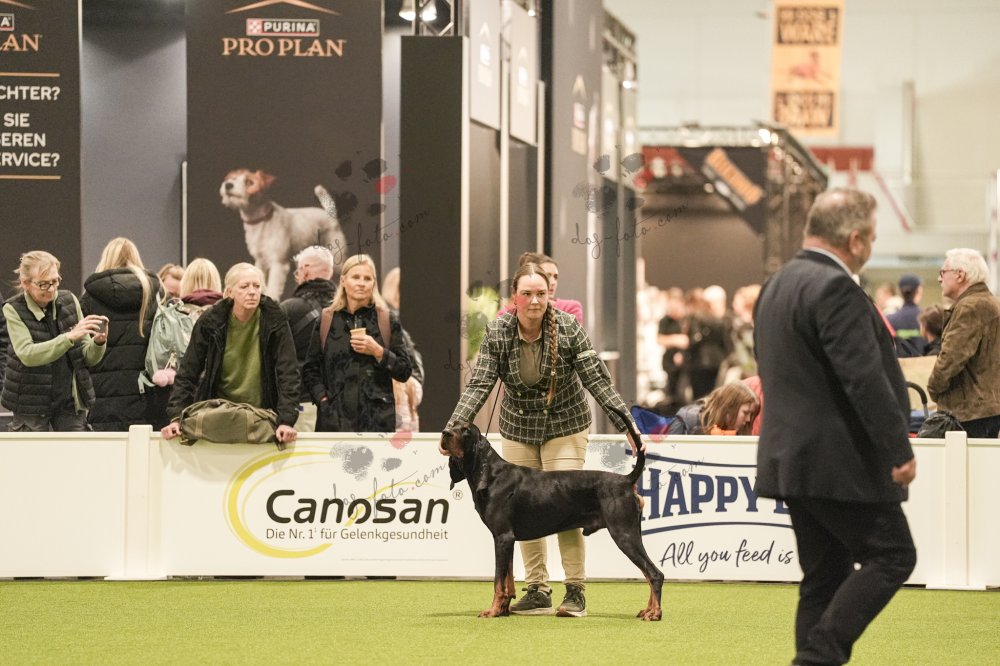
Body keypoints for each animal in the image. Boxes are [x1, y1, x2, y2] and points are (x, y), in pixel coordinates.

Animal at [220, 168, 347, 299]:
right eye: (233, 178)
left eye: (249, 182)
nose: (228, 185)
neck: (262, 221)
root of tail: (329, 214)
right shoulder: (260, 260)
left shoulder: (278, 263)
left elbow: (273, 287)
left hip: (336, 256)